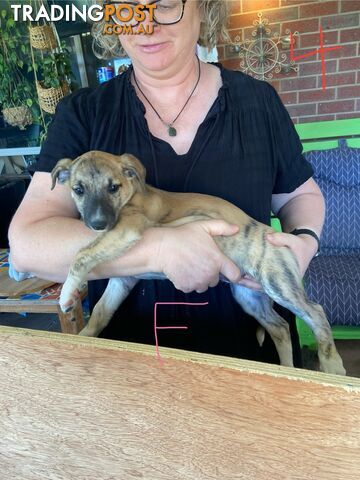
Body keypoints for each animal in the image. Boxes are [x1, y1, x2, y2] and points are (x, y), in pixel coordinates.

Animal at [51, 151, 346, 376]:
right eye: (78, 190)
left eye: (114, 187)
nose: (97, 224)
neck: (132, 195)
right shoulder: (124, 279)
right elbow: (101, 311)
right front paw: (84, 337)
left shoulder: (127, 228)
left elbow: (82, 254)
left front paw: (67, 293)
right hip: (248, 296)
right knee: (281, 328)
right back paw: (286, 368)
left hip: (278, 282)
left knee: (316, 312)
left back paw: (332, 364)